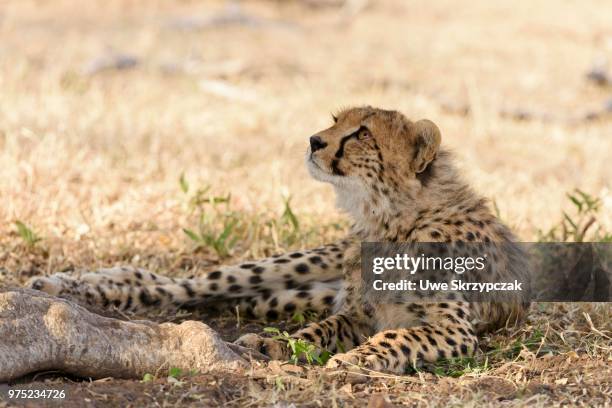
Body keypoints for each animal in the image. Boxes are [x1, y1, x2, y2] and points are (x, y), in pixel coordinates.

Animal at [26, 107, 528, 374]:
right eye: (335, 119)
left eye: (362, 133)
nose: (314, 140)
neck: (386, 220)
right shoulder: (357, 314)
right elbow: (323, 328)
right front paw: (278, 346)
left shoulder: (453, 330)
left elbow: (396, 337)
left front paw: (354, 359)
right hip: (291, 265)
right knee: (182, 284)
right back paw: (69, 285)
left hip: (286, 293)